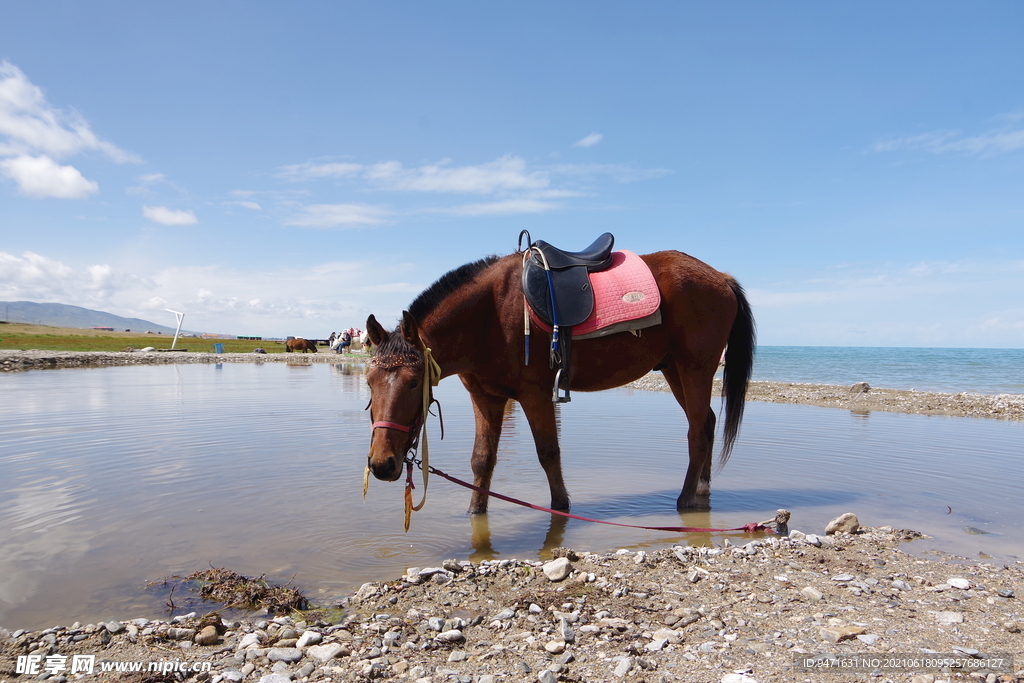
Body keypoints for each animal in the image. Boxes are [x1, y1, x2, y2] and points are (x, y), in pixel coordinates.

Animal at [360, 248, 753, 509]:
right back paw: (701, 489)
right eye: (369, 381)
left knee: (697, 431)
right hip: (673, 369)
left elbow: (549, 453)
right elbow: (482, 460)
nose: (381, 464)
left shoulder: (535, 395)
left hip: (695, 368)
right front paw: (476, 513)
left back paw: (686, 500)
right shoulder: (486, 398)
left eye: (413, 382)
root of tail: (720, 277)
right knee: (706, 423)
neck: (488, 316)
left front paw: (560, 509)